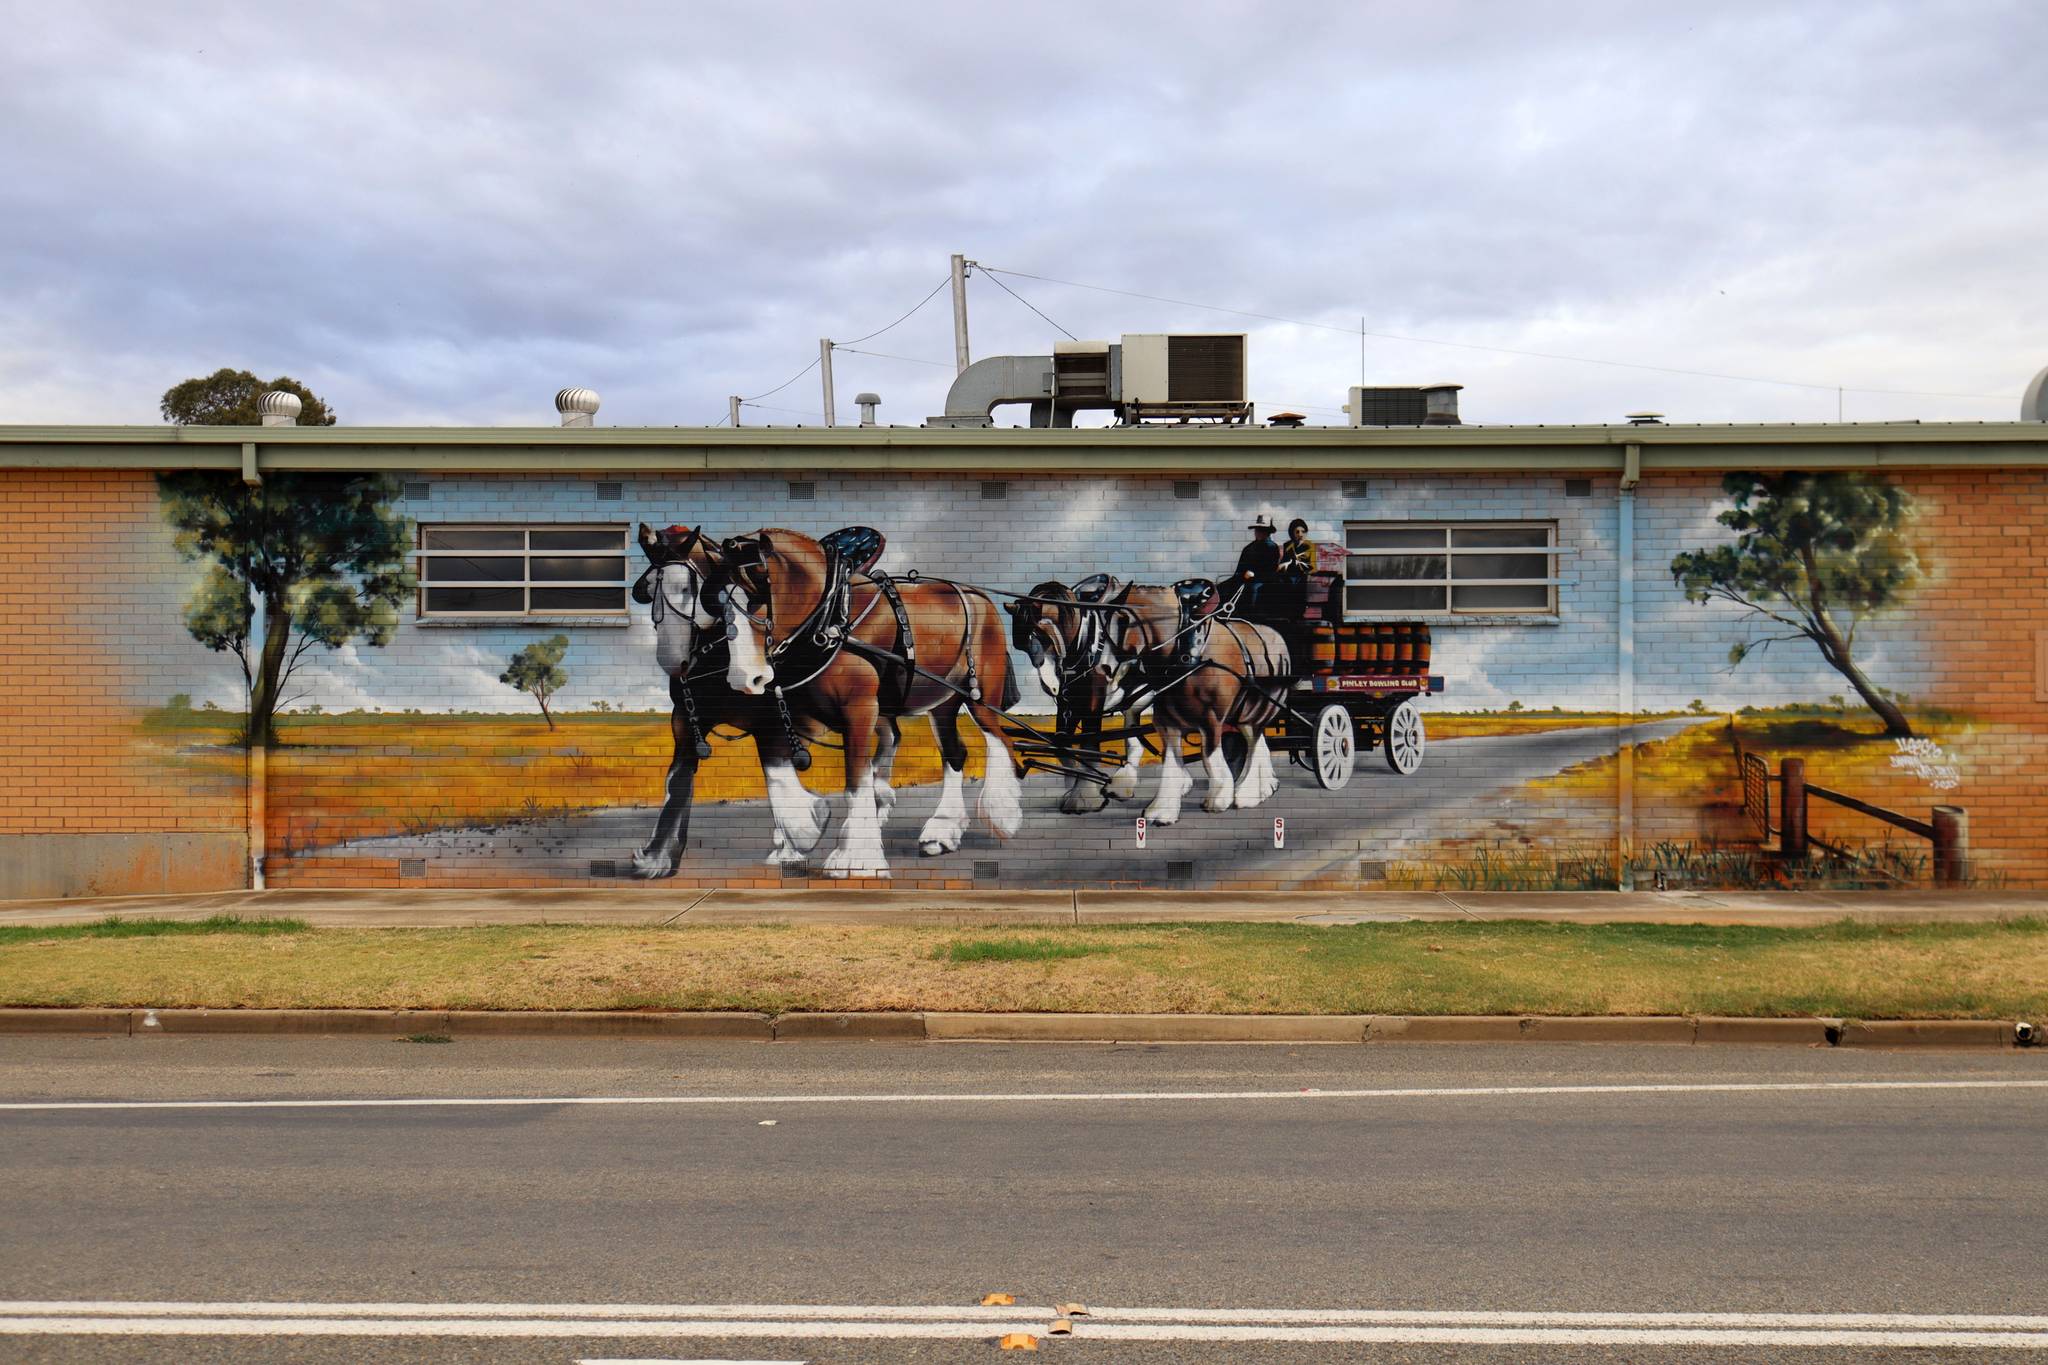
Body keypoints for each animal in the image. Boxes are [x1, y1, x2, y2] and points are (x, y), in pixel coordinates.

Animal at [708, 527, 1024, 879]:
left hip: (979, 697)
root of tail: (978, 596)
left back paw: (1002, 815)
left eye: (762, 584)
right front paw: (800, 836)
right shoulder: (799, 717)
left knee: (1000, 740)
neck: (831, 616)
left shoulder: (858, 710)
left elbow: (855, 781)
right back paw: (940, 832)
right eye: (720, 601)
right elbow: (778, 773)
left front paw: (855, 858)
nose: (745, 678)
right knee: (953, 754)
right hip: (941, 703)